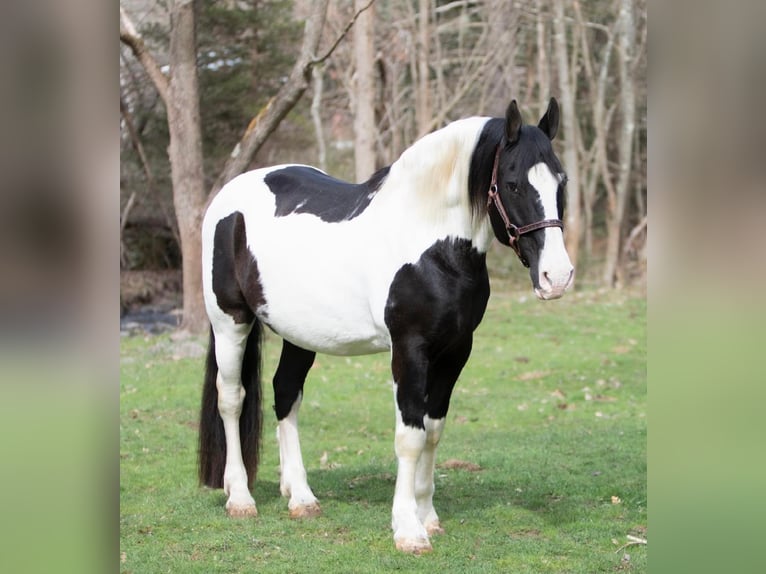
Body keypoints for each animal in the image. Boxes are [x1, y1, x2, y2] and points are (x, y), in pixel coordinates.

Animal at [198, 97, 576, 556]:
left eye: (561, 181)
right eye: (514, 183)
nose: (557, 277)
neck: (431, 244)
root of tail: (228, 196)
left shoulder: (455, 352)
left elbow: (433, 431)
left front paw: (427, 516)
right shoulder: (409, 349)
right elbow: (410, 436)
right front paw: (407, 529)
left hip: (300, 334)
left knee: (286, 394)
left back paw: (300, 497)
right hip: (229, 321)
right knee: (231, 400)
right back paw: (239, 497)